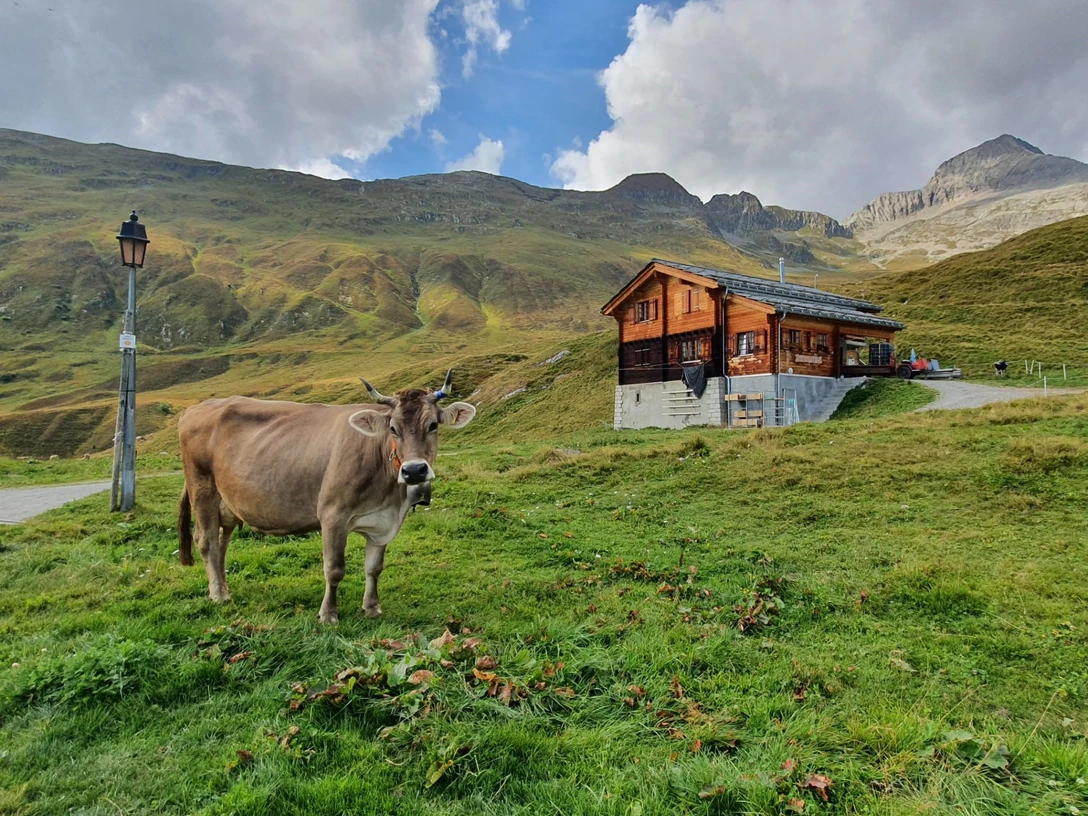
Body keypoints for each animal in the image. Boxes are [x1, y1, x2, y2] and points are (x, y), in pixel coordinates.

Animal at [176, 370, 475, 623]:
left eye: (433, 425)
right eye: (393, 428)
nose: (414, 471)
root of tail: (197, 408)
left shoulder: (383, 521)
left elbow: (374, 568)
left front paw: (371, 607)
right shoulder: (332, 515)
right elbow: (334, 568)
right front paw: (328, 614)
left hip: (227, 503)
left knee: (221, 543)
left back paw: (224, 588)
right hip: (202, 487)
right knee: (206, 541)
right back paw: (218, 594)